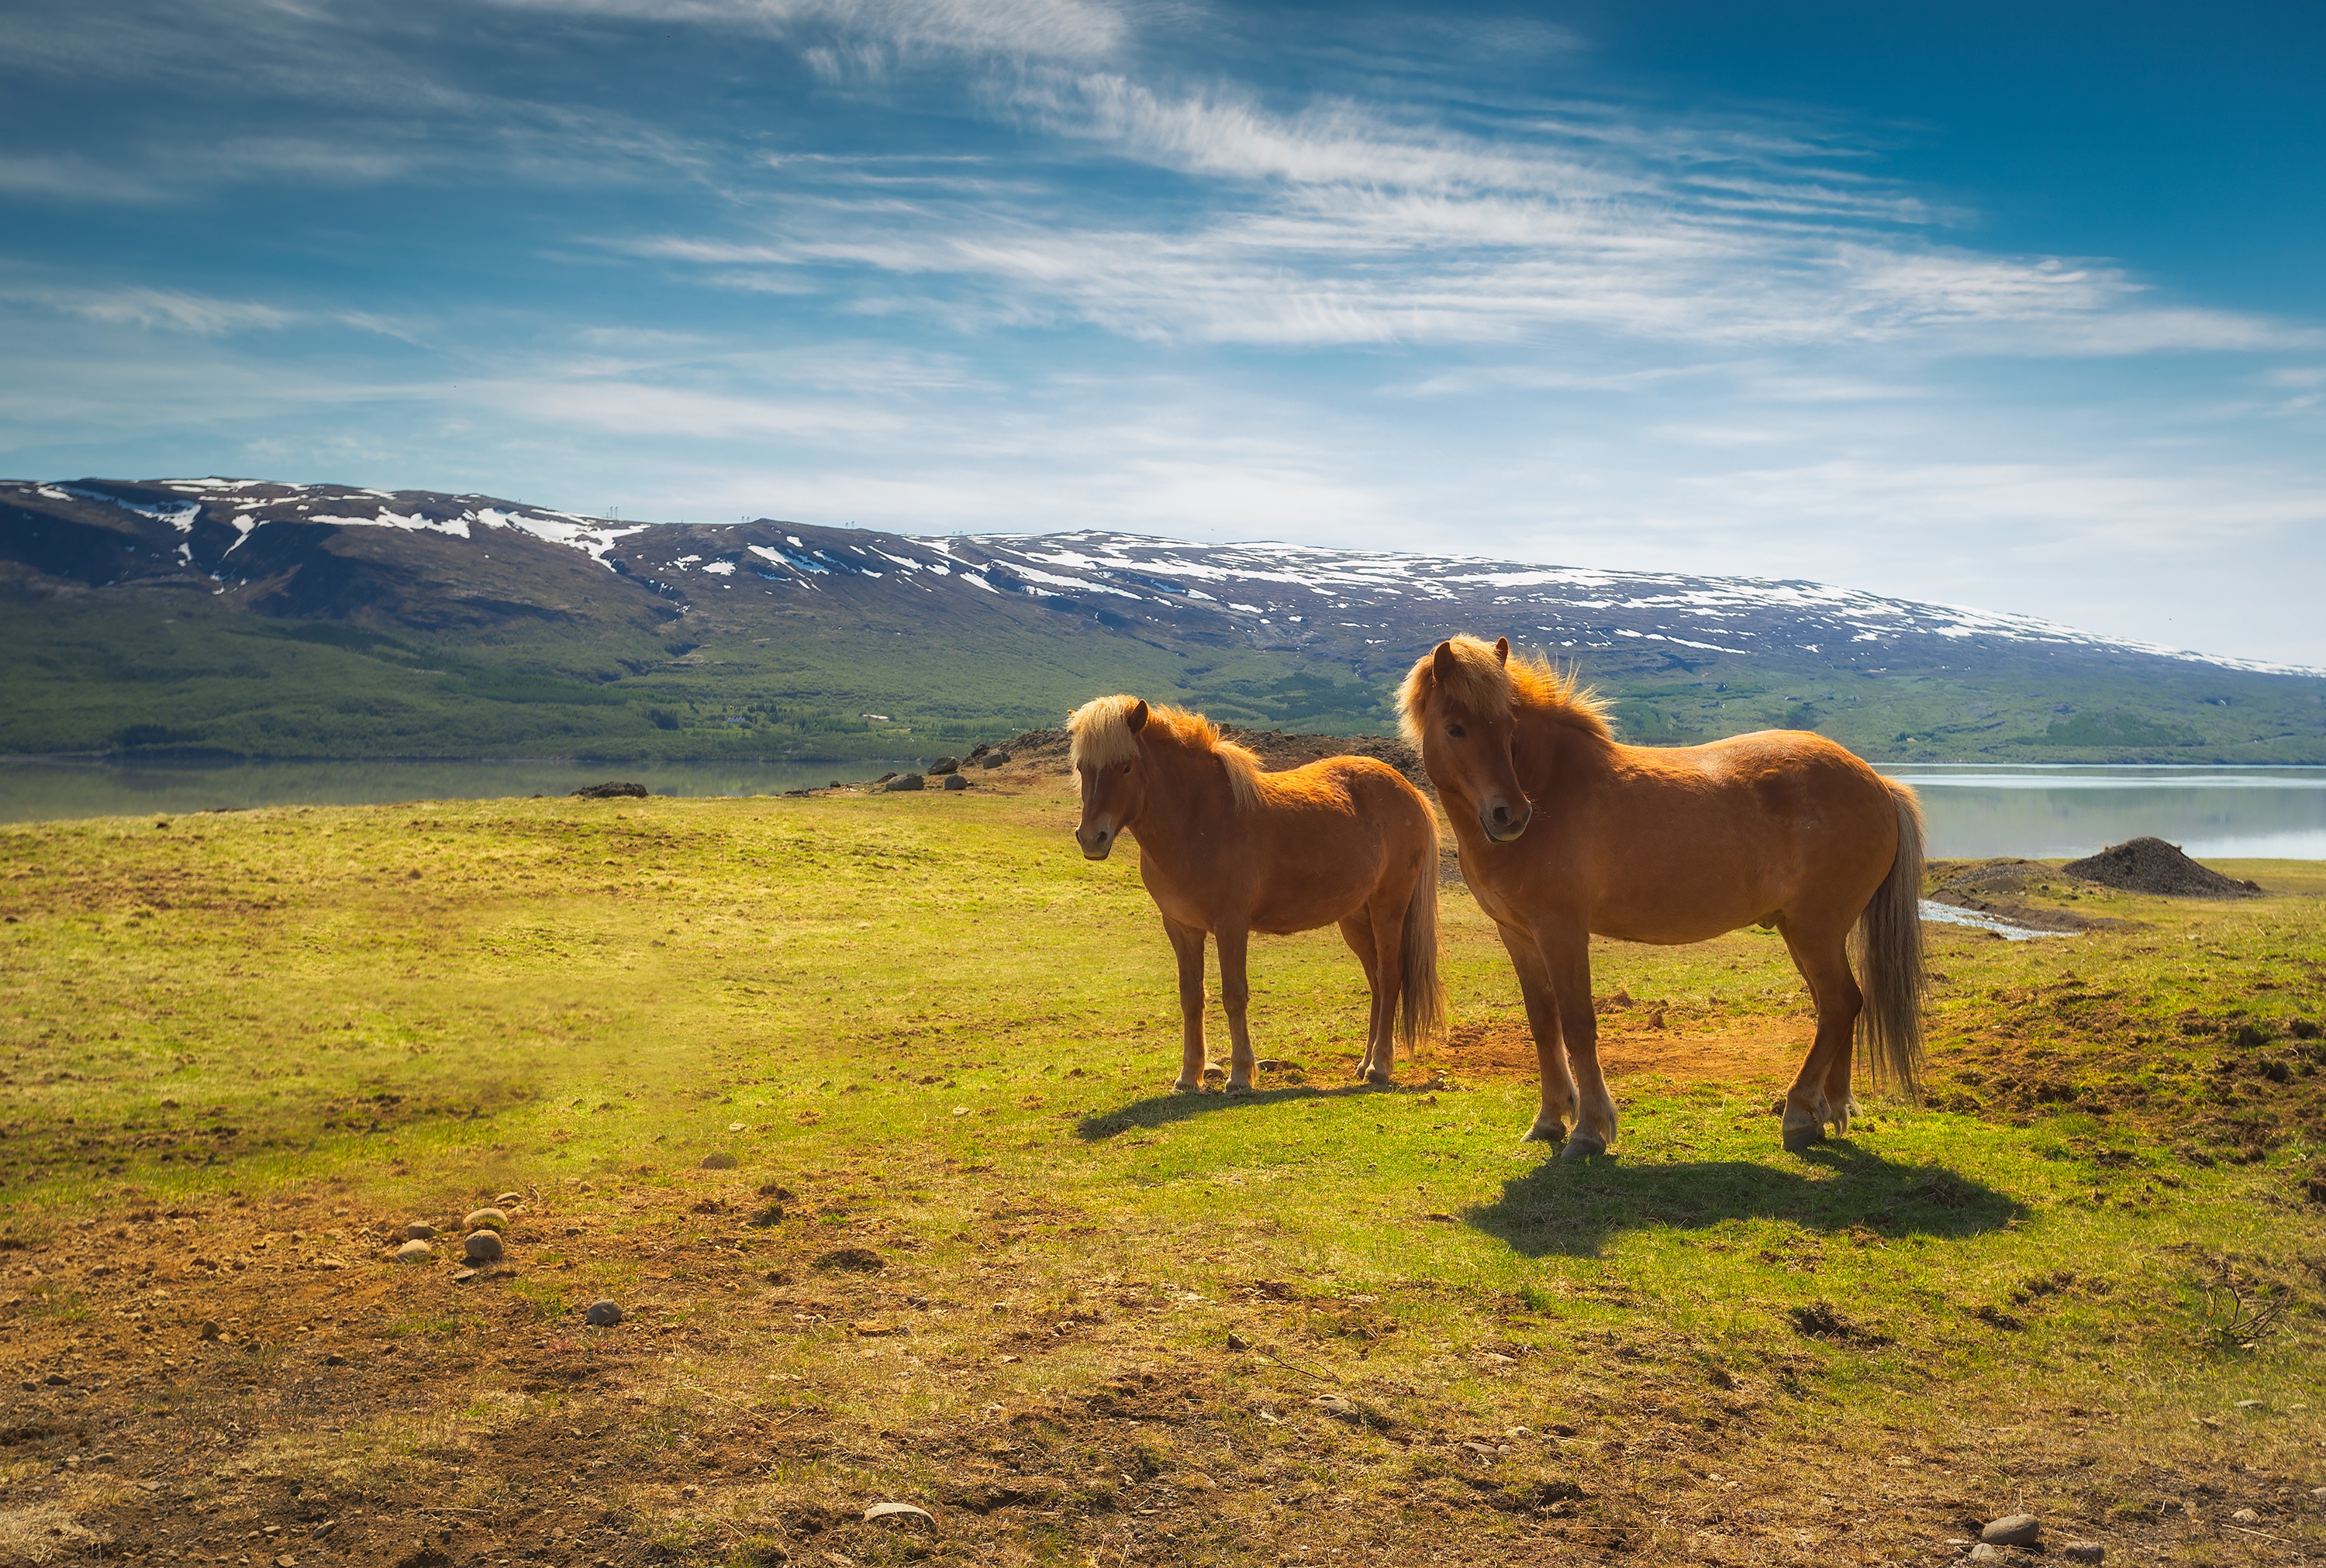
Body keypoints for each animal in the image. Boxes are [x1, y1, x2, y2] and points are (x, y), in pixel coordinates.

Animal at [1079, 698, 1442, 1088]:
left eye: (1126, 767)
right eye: (1082, 768)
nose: (1092, 838)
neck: (1199, 820)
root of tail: (1411, 791)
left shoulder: (1231, 926)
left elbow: (1234, 996)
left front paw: (1240, 1074)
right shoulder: (1181, 928)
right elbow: (1191, 998)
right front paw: (1189, 1076)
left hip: (1388, 908)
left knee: (1390, 977)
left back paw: (1379, 1066)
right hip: (1357, 919)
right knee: (1375, 982)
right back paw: (1363, 1064)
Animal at [1396, 628, 1926, 1153]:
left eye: (1508, 727)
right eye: (1456, 728)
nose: (1511, 816)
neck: (1552, 785)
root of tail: (1879, 782)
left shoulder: (1562, 931)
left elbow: (1578, 1023)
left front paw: (1589, 1129)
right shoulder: (1519, 935)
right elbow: (1544, 1024)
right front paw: (1549, 1120)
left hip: (1816, 931)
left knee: (1839, 1005)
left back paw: (1798, 1113)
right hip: (1804, 932)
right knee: (1836, 1007)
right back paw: (1829, 1109)